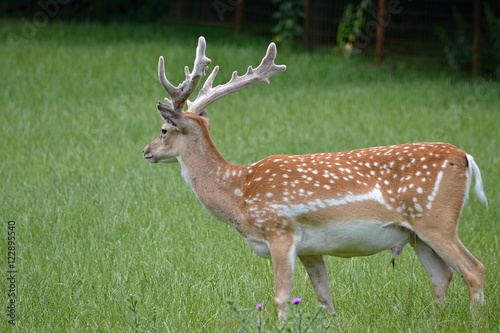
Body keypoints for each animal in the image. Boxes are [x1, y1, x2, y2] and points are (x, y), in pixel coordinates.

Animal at [143, 36, 486, 316]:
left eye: (163, 130)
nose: (146, 150)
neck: (238, 193)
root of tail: (465, 158)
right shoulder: (312, 249)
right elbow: (325, 298)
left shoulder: (280, 231)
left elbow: (281, 296)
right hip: (416, 234)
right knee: (442, 276)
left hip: (436, 219)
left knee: (474, 269)